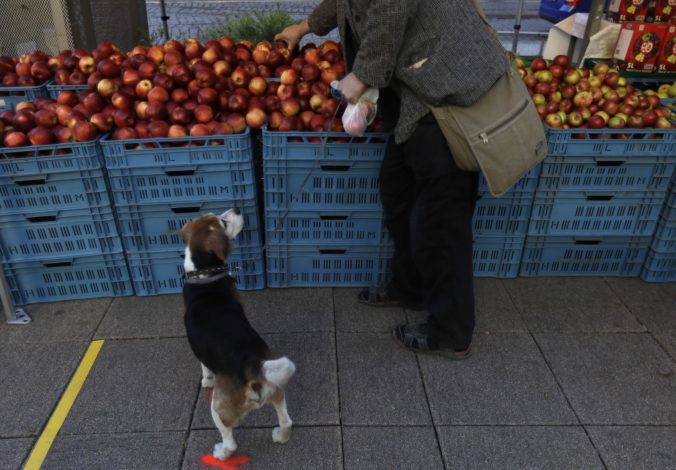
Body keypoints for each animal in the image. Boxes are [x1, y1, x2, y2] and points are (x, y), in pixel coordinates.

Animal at [181, 209, 294, 458]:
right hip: (275, 388)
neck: (204, 275)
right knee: (286, 420)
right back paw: (280, 437)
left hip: (218, 407)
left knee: (230, 441)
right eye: (222, 221)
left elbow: (204, 367)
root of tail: (252, 364)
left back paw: (221, 453)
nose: (237, 210)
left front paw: (206, 381)